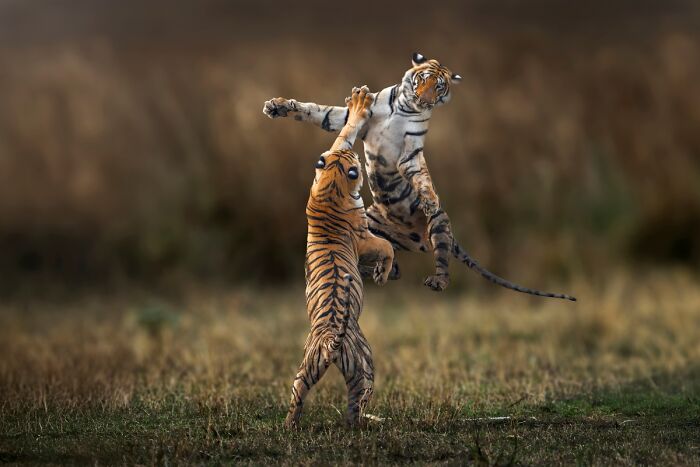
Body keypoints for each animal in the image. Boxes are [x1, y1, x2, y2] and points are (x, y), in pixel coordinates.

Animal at [264, 52, 576, 301]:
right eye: (421, 80)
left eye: (438, 87)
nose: (424, 100)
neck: (403, 108)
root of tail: (409, 237)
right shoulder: (343, 120)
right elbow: (317, 111)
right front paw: (278, 106)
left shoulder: (410, 152)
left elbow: (421, 178)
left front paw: (427, 199)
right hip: (371, 225)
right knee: (392, 264)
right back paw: (377, 268)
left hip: (438, 228)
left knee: (441, 259)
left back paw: (435, 280)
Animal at [285, 85, 395, 429]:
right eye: (355, 161)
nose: (358, 155)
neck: (330, 185)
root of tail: (332, 341)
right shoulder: (364, 239)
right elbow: (387, 247)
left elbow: (342, 136)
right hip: (365, 367)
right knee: (356, 405)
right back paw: (368, 421)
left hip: (305, 370)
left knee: (297, 399)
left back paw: (290, 426)